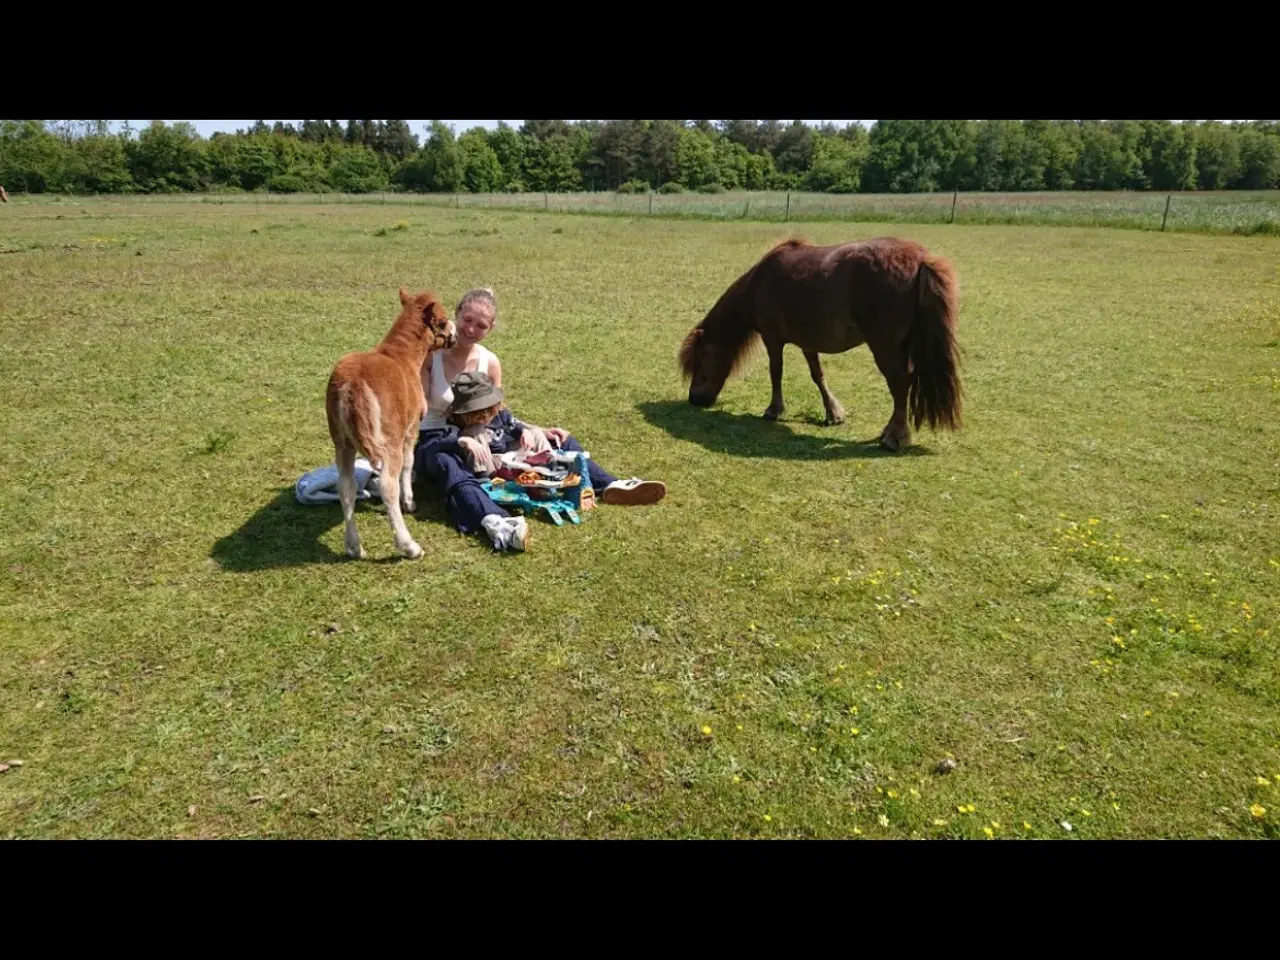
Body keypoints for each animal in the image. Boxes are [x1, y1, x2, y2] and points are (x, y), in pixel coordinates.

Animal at [326, 287, 457, 560]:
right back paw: (409, 546)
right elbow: (409, 463)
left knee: (346, 487)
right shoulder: (410, 429)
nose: (455, 334)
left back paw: (354, 546)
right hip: (389, 442)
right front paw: (410, 501)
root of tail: (352, 386)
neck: (402, 356)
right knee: (388, 485)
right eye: (442, 319)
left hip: (342, 443)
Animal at [678, 235, 963, 451]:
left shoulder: (772, 339)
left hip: (886, 347)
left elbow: (776, 372)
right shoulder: (808, 342)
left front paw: (774, 410)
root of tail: (921, 259)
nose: (694, 399)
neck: (760, 282)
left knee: (900, 384)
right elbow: (818, 375)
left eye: (700, 362)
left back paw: (894, 438)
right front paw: (834, 413)